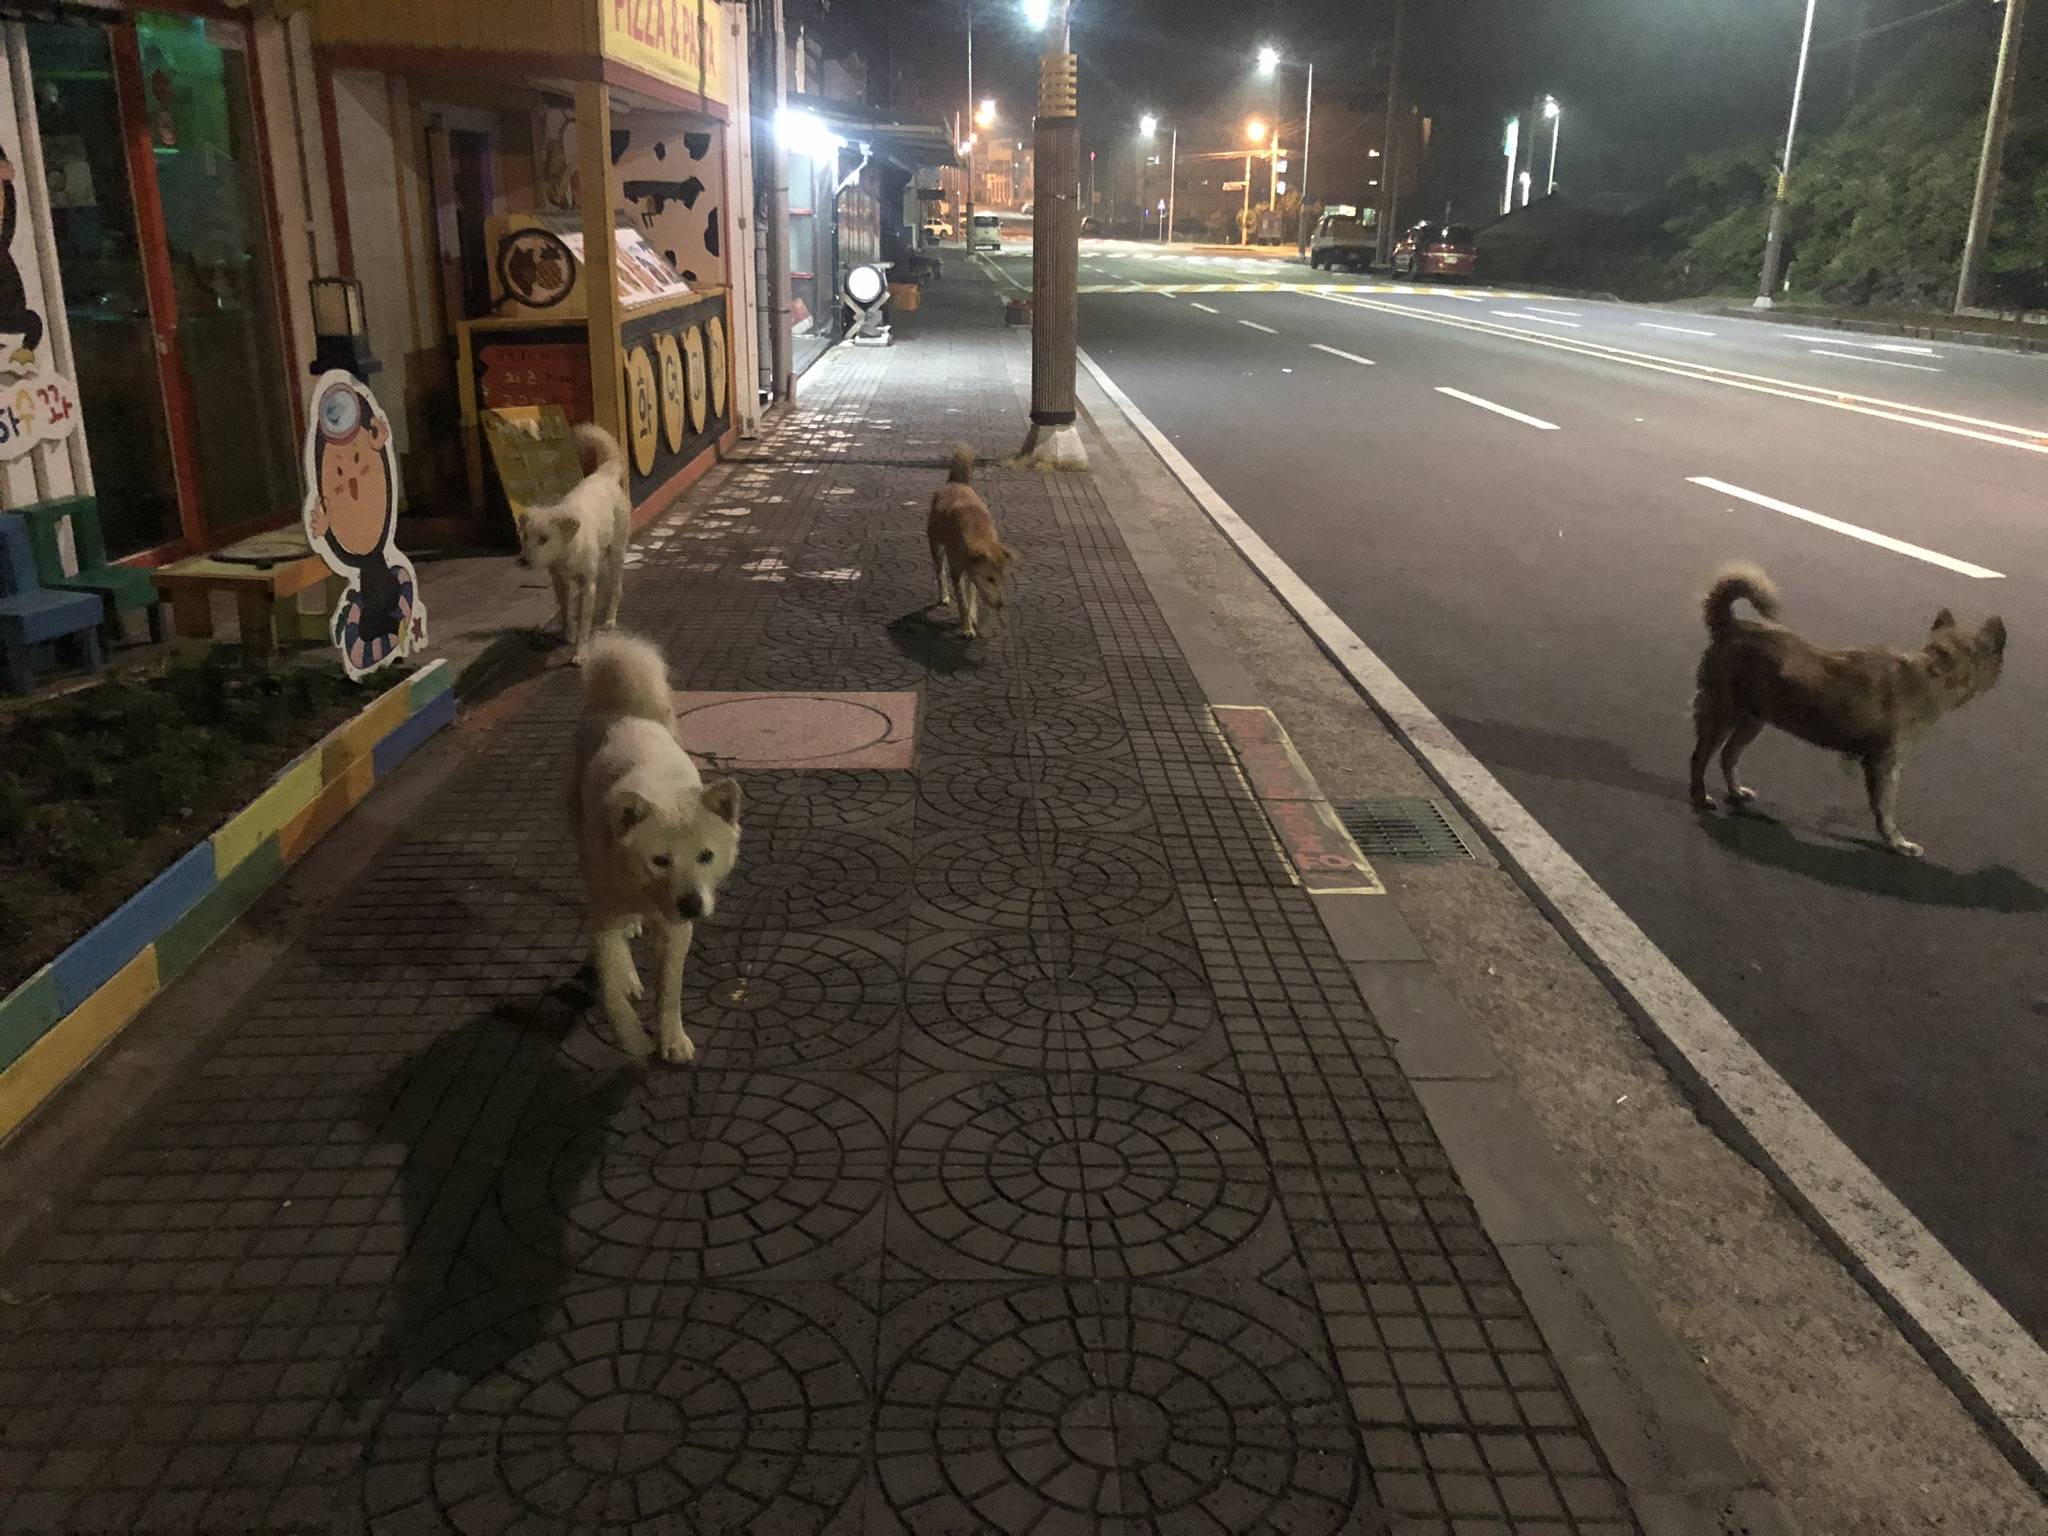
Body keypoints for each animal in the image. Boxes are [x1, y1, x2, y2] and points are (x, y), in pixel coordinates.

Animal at [933, 448, 1019, 638]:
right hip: (936, 548)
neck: (979, 538)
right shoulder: (956, 572)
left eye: (1003, 578)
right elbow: (962, 602)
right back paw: (943, 596)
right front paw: (967, 628)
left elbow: (971, 595)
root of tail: (956, 482)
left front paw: (972, 616)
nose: (1001, 604)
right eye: (990, 579)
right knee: (940, 573)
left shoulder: (971, 572)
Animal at [1687, 565, 2007, 860]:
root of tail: (1730, 624)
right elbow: (1885, 810)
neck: (1934, 670)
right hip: (1721, 714)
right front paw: (1898, 844)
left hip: (1754, 719)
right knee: (1699, 759)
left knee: (1728, 756)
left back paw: (1736, 792)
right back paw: (1700, 797)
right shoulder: (1885, 764)